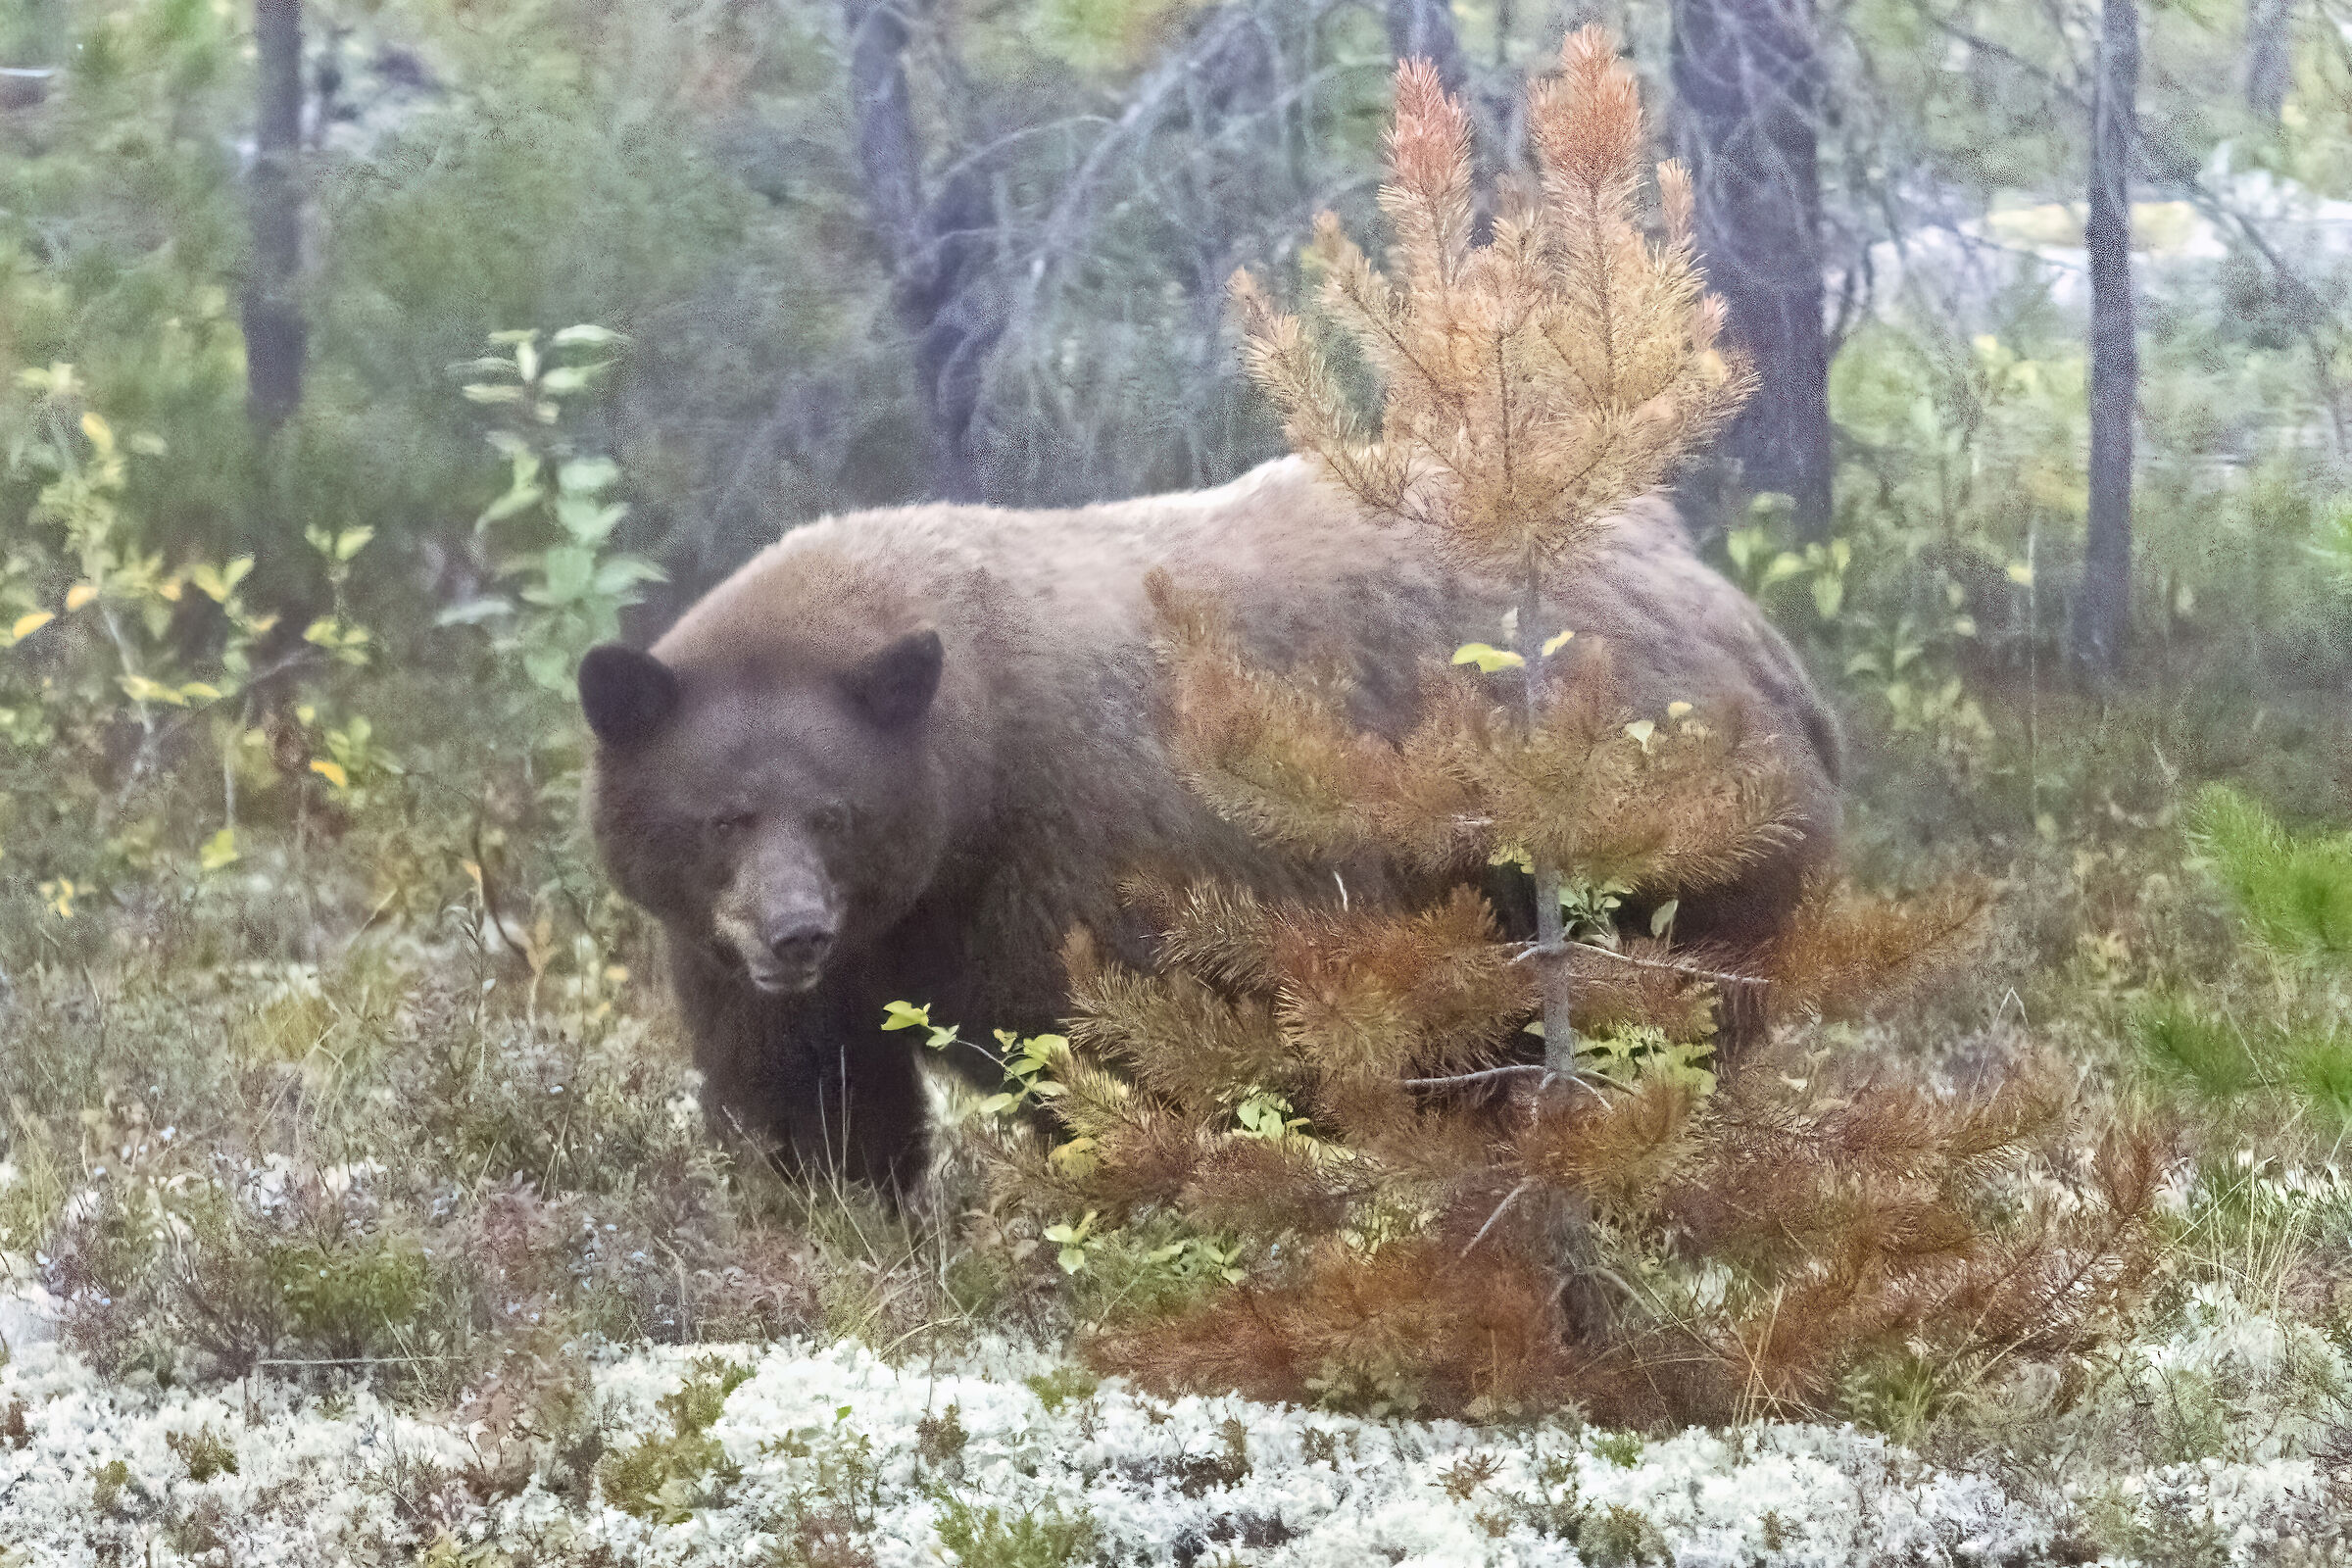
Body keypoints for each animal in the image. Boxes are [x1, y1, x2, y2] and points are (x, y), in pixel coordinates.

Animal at [579, 456, 1841, 1192]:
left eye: (833, 810)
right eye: (723, 815)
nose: (791, 930)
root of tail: (1741, 618)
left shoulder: (1086, 858)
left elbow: (1138, 1061)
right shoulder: (761, 960)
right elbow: (809, 1098)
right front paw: (835, 1204)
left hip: (1657, 859)